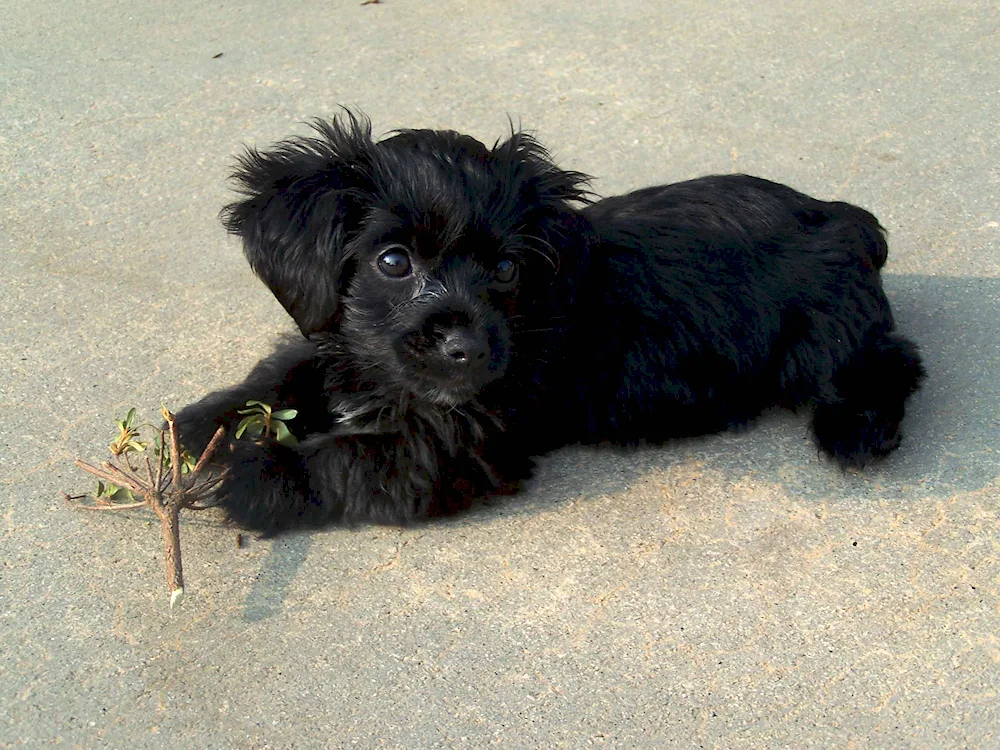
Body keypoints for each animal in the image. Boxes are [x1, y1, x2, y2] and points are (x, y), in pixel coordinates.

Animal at [176, 113, 924, 536]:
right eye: (393, 261)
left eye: (508, 269)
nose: (467, 346)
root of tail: (845, 216)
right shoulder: (343, 343)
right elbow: (288, 369)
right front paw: (199, 426)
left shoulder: (452, 448)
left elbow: (346, 458)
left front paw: (253, 478)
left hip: (825, 341)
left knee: (894, 361)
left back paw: (858, 432)